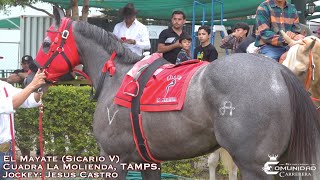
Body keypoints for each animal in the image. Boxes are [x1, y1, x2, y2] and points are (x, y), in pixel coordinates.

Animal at [30, 6, 320, 179]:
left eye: (46, 42)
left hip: (254, 166)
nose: (35, 76)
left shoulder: (115, 160)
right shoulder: (148, 161)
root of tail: (278, 72)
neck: (118, 77)